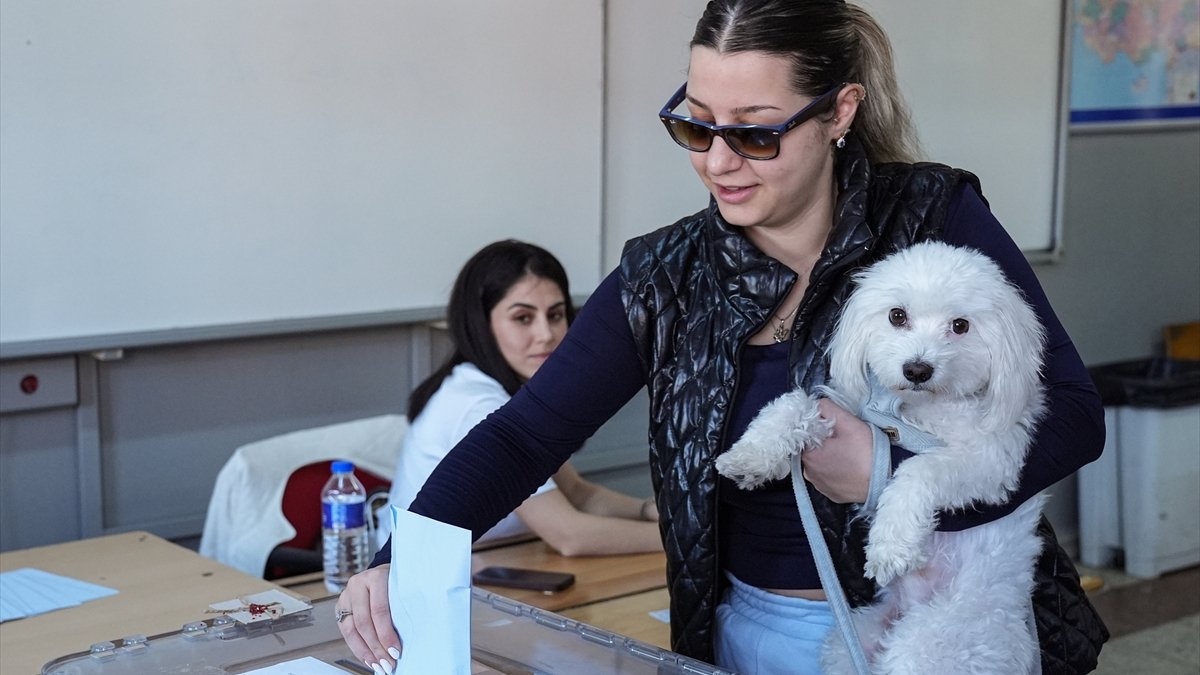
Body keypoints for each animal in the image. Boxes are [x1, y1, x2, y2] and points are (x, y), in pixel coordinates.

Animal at [715, 241, 1046, 672]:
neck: (911, 411)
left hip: (932, 646)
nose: (917, 369)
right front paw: (751, 455)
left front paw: (892, 544)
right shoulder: (854, 410)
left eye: (960, 326)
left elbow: (920, 467)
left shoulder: (991, 461)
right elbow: (796, 403)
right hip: (850, 640)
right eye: (897, 315)